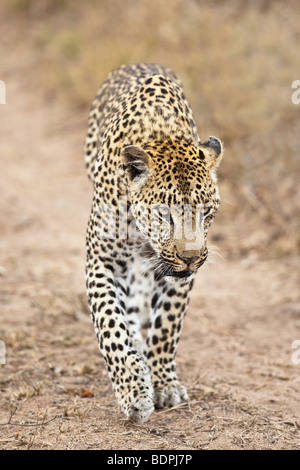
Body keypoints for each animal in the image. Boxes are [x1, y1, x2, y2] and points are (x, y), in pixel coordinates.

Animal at [84, 63, 223, 422]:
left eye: (206, 212)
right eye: (165, 215)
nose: (191, 258)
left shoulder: (177, 276)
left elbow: (166, 327)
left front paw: (163, 383)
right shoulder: (101, 261)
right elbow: (111, 325)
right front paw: (134, 390)